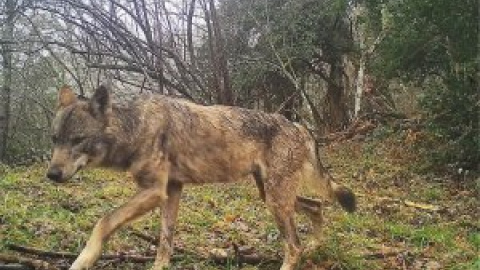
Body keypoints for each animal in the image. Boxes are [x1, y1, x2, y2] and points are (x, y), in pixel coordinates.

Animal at [47, 85, 354, 270]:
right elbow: (165, 242)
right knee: (317, 207)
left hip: (275, 201)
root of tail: (299, 125)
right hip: (270, 195)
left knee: (294, 245)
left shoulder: (154, 191)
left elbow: (104, 221)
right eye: (54, 139)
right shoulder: (171, 191)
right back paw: (316, 244)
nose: (51, 174)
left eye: (78, 140)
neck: (137, 128)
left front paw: (83, 260)